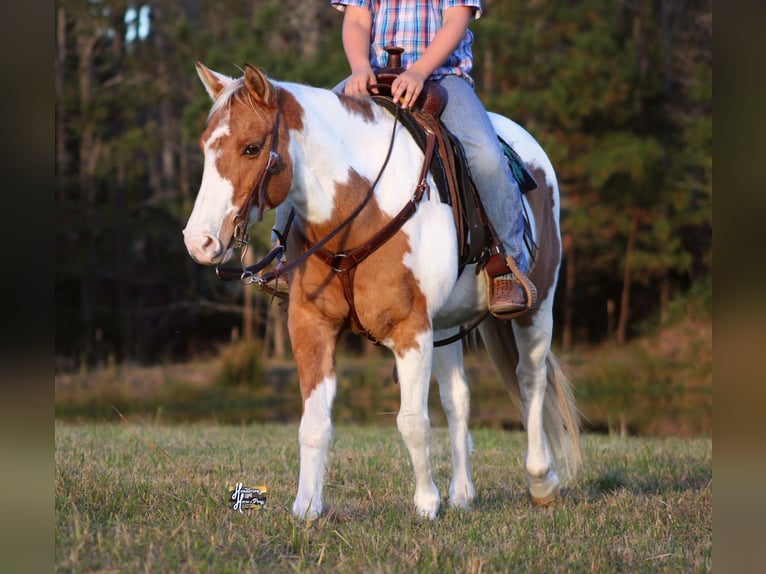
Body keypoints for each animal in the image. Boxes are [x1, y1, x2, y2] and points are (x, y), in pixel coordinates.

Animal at [184, 63, 584, 520]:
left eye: (251, 148)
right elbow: (314, 422)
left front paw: (426, 504)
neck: (360, 212)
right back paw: (462, 493)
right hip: (445, 323)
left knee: (530, 380)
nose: (199, 241)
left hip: (537, 306)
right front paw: (307, 507)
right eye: (204, 146)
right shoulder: (311, 325)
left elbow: (412, 421)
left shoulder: (410, 329)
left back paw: (541, 480)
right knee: (458, 398)